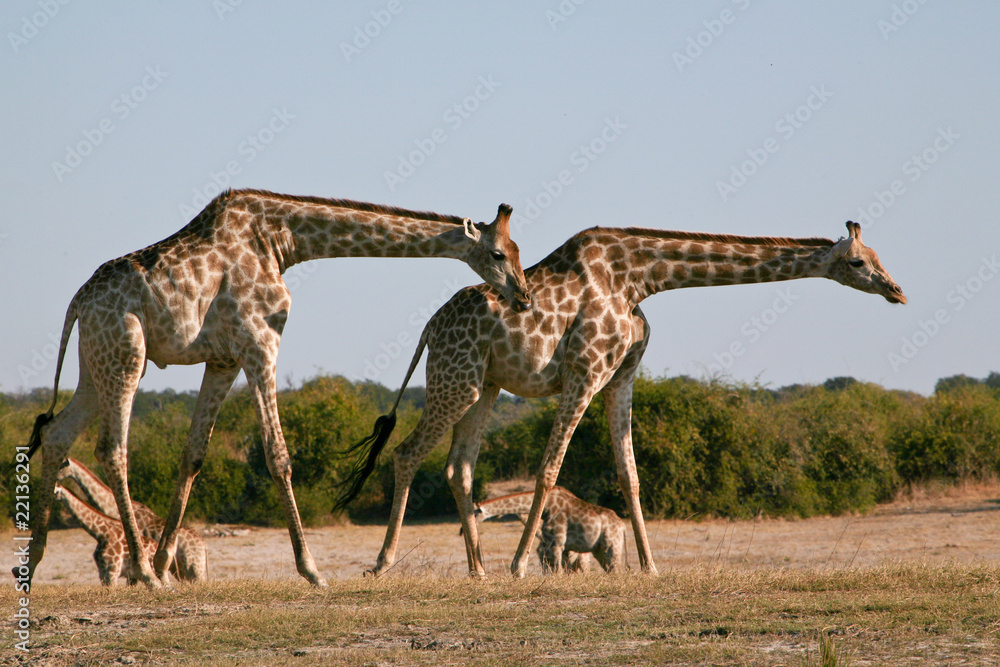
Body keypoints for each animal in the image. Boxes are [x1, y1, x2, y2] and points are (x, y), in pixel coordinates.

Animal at [474, 486, 627, 573]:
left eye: (475, 513)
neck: (547, 505)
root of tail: (622, 525)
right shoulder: (556, 547)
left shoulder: (556, 544)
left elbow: (556, 572)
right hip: (598, 551)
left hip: (611, 547)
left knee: (615, 571)